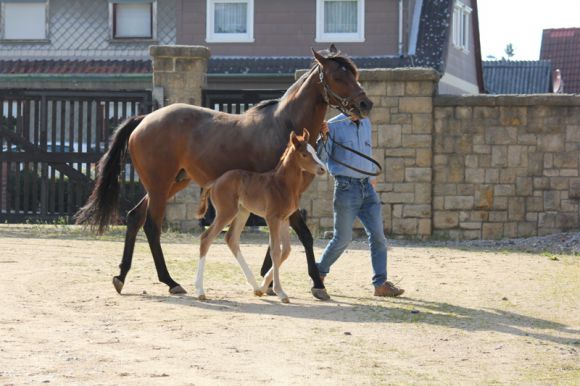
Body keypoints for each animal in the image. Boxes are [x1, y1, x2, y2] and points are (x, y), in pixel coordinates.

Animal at [194, 128, 322, 304]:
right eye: (304, 154)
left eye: (315, 151)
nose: (322, 169)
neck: (283, 184)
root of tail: (216, 181)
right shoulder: (272, 218)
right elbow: (275, 251)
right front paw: (280, 292)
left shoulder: (284, 219)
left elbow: (286, 251)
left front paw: (263, 287)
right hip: (226, 212)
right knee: (206, 238)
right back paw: (200, 290)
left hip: (242, 212)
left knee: (231, 239)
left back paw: (255, 287)